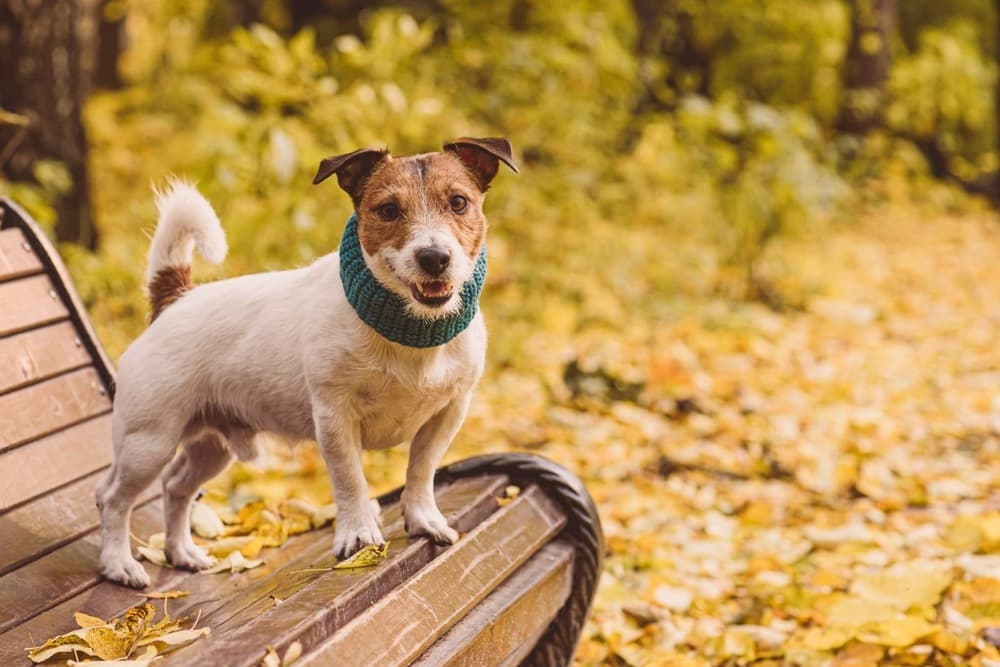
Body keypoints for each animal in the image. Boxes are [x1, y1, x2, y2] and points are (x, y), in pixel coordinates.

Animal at [97, 138, 520, 588]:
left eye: (458, 202)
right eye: (388, 210)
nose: (434, 257)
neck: (409, 329)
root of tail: (175, 298)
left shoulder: (448, 413)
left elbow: (421, 470)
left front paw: (423, 519)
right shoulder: (335, 418)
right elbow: (350, 480)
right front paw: (358, 535)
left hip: (212, 444)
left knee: (176, 486)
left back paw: (182, 554)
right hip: (148, 442)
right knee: (112, 499)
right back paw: (118, 563)